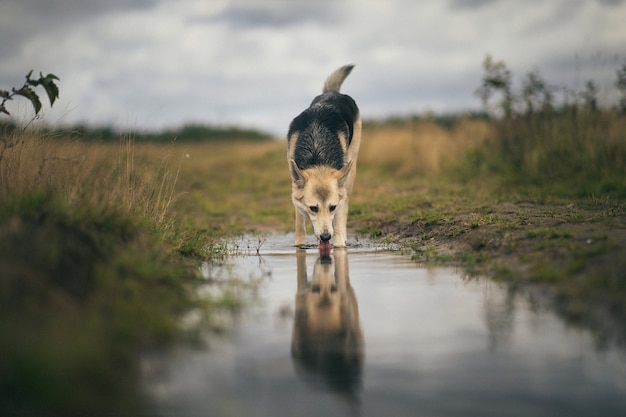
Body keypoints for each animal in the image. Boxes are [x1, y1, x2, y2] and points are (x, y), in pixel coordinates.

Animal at [284, 65, 358, 247]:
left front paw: (339, 244)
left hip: (350, 172)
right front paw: (300, 245)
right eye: (313, 208)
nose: (325, 237)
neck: (318, 155)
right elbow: (300, 226)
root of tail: (332, 92)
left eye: (332, 207)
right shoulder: (296, 193)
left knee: (345, 203)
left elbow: (339, 220)